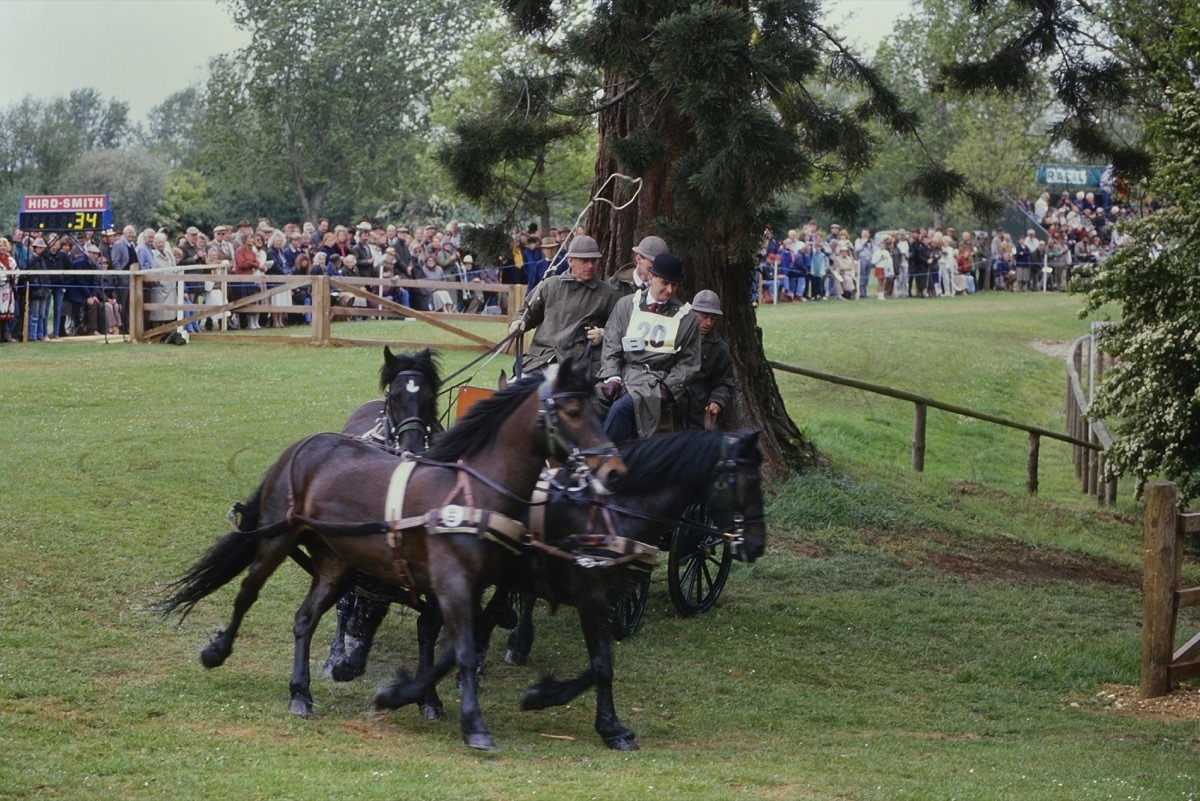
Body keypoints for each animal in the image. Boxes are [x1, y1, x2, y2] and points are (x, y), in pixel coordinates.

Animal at [160, 362, 628, 753]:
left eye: (597, 408)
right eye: (571, 411)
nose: (614, 472)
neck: (474, 493)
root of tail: (305, 444)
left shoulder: (468, 587)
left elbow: (451, 650)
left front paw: (405, 696)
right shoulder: (452, 584)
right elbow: (462, 652)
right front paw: (473, 725)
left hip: (335, 562)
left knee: (305, 618)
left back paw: (300, 693)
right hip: (277, 539)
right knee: (246, 592)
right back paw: (217, 652)